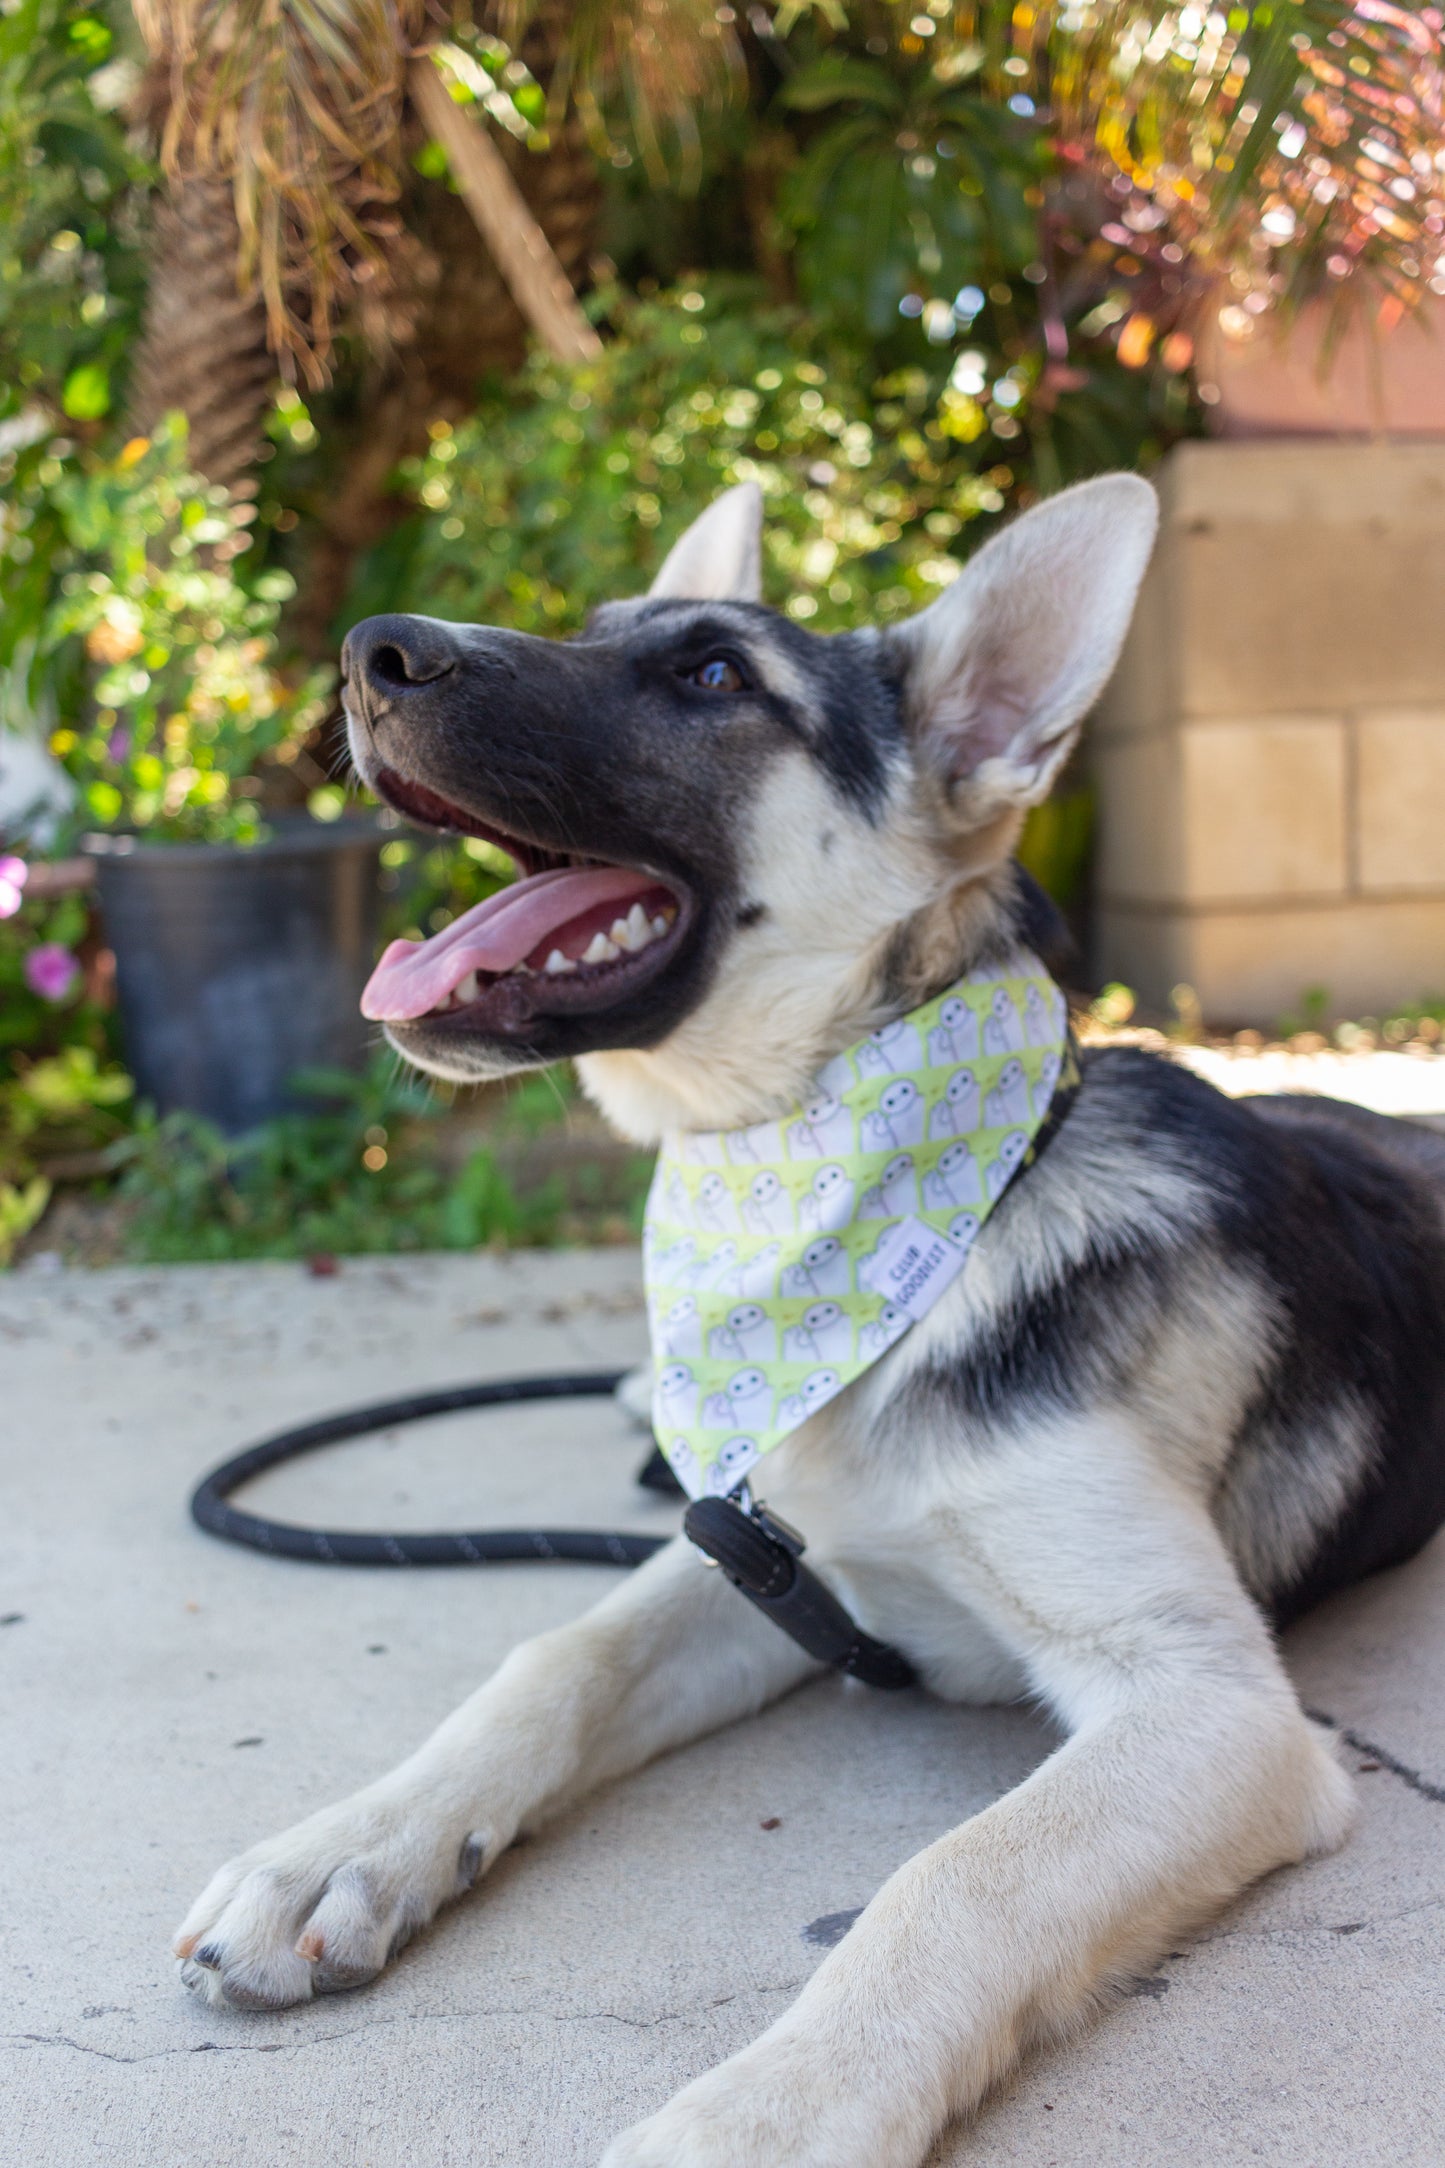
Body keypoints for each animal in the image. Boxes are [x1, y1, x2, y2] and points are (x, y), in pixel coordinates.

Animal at [175, 479, 1445, 2168]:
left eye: (715, 676)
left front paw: (760, 2118)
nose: (370, 651)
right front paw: (348, 1845)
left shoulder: (1207, 1705)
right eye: (597, 631)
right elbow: (555, 1657)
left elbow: (957, 1880)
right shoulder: (764, 1564)